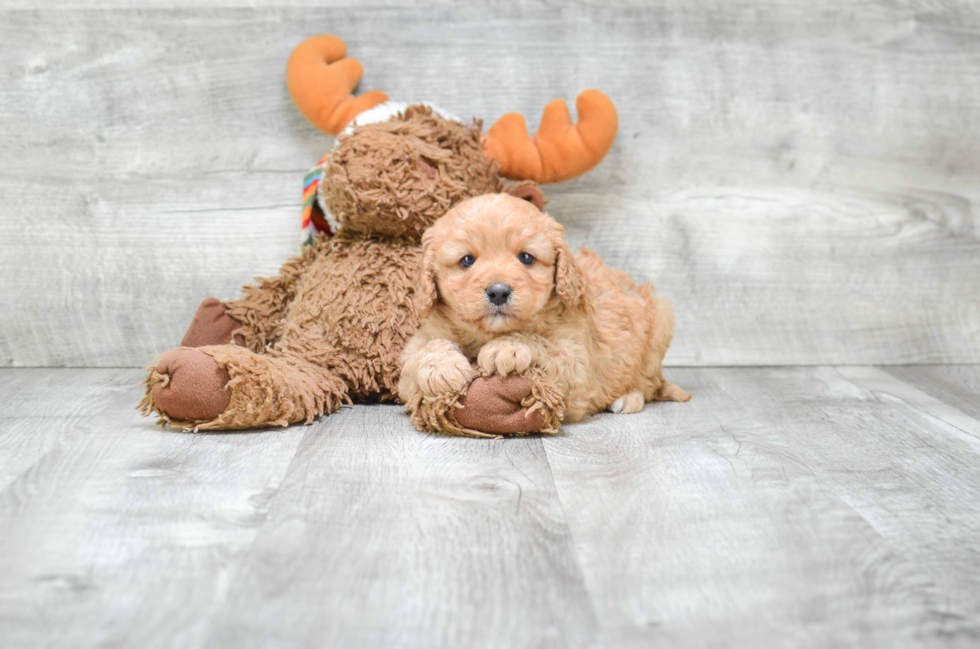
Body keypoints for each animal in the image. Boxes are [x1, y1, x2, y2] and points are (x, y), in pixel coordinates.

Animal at [398, 192, 688, 426]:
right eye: (467, 260)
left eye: (526, 257)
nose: (498, 291)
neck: (488, 332)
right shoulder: (415, 353)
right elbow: (422, 351)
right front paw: (442, 369)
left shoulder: (578, 365)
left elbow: (539, 341)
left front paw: (507, 348)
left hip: (659, 325)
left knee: (648, 383)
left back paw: (628, 398)